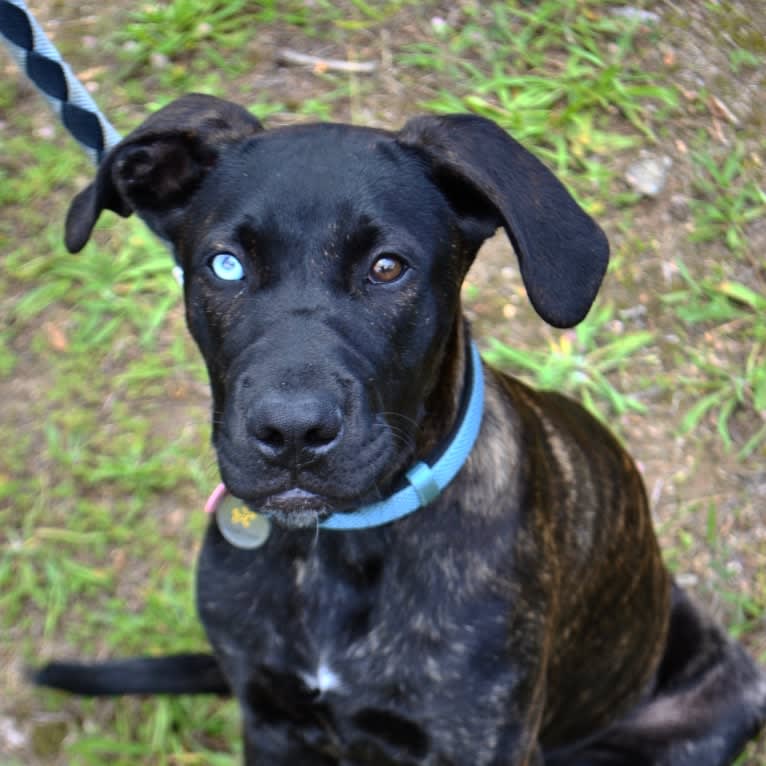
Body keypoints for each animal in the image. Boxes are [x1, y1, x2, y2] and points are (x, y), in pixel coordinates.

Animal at [33, 96, 764, 766]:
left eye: (387, 267)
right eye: (225, 265)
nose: (291, 430)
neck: (335, 553)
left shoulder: (479, 745)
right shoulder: (271, 721)